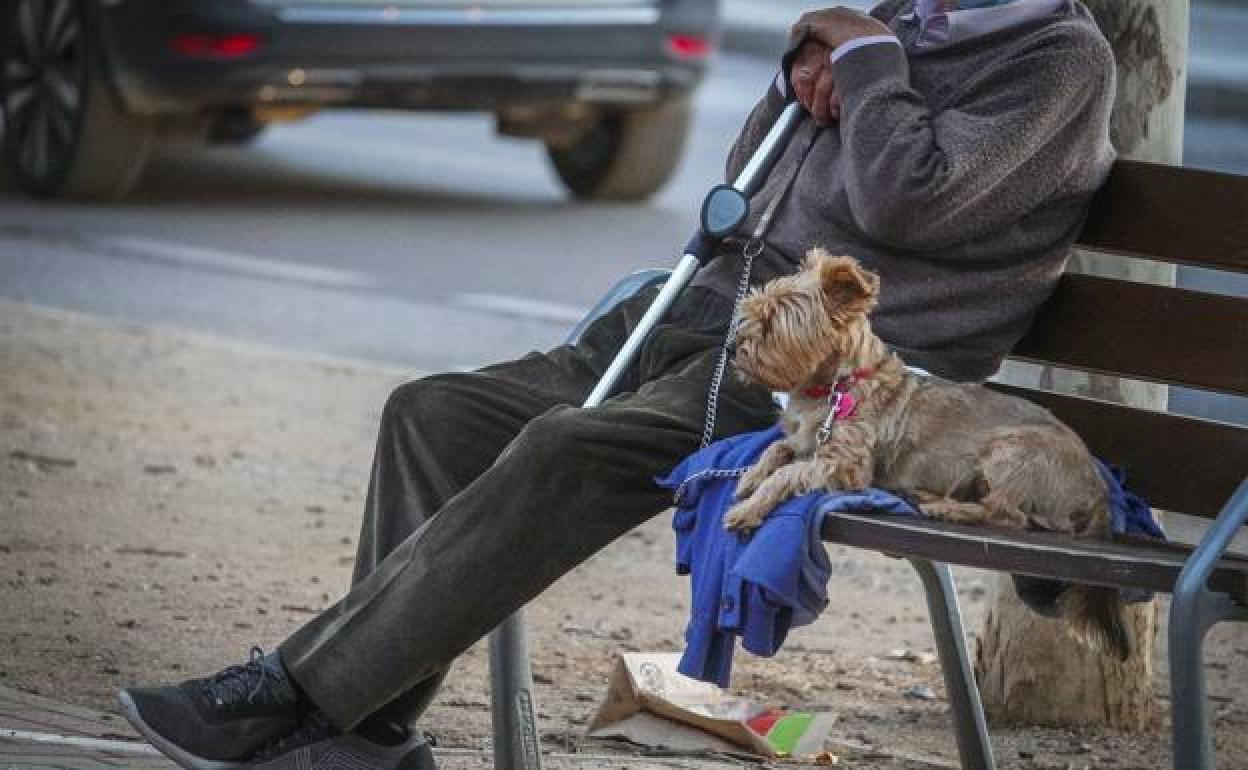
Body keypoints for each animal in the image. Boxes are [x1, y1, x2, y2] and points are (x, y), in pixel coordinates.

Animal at [728, 249, 1133, 658]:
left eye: (773, 321)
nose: (731, 348)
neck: (835, 386)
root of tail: (1098, 491)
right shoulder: (805, 443)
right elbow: (777, 449)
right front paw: (749, 478)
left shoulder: (845, 466)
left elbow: (787, 473)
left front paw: (748, 508)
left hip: (1010, 450)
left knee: (1007, 515)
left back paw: (945, 508)